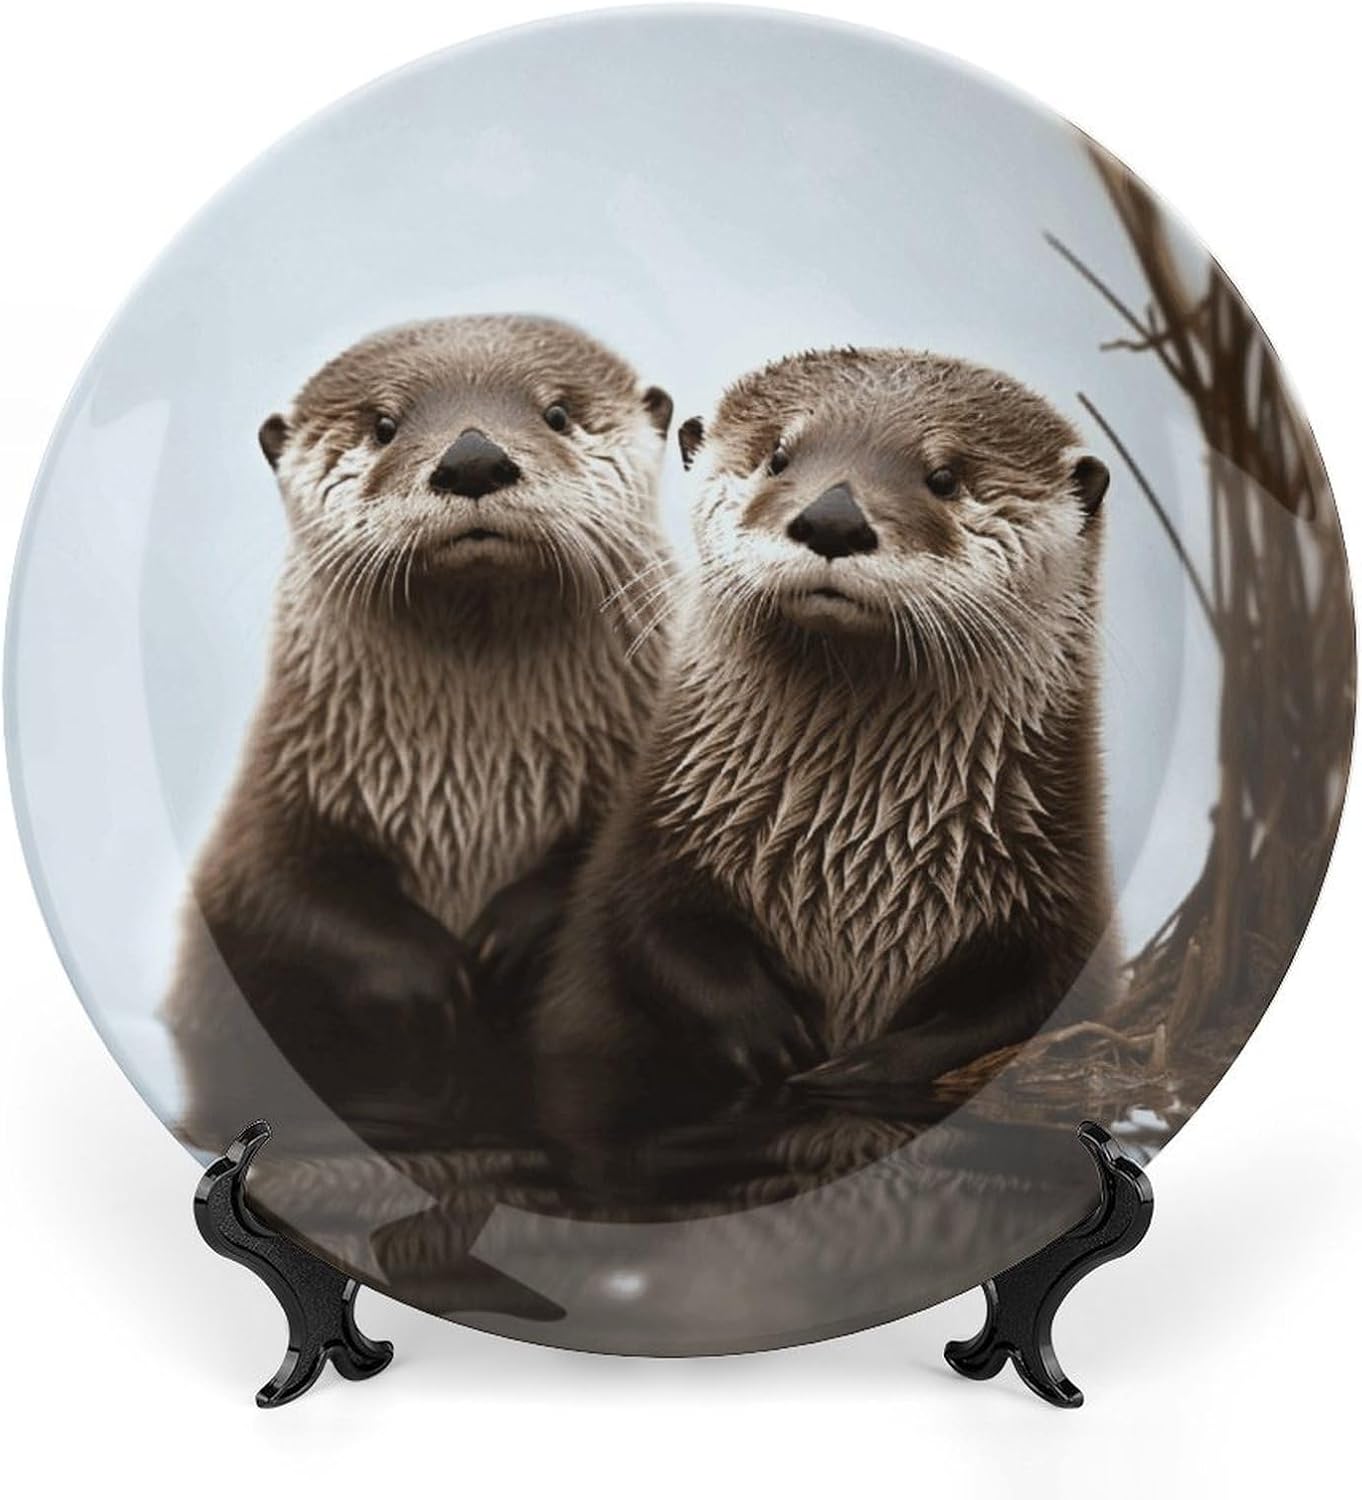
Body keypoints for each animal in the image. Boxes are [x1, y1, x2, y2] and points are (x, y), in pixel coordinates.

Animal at [165, 315, 675, 1153]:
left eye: (557, 412)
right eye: (383, 424)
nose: (473, 457)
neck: (475, 781)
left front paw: (510, 937)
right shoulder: (274, 796)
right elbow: (274, 893)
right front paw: (427, 974)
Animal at [533, 346, 1115, 1144]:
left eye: (945, 476)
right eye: (779, 456)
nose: (833, 517)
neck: (852, 851)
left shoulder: (1059, 884)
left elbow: (1034, 997)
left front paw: (871, 1064)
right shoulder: (654, 835)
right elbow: (644, 927)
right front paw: (769, 1031)